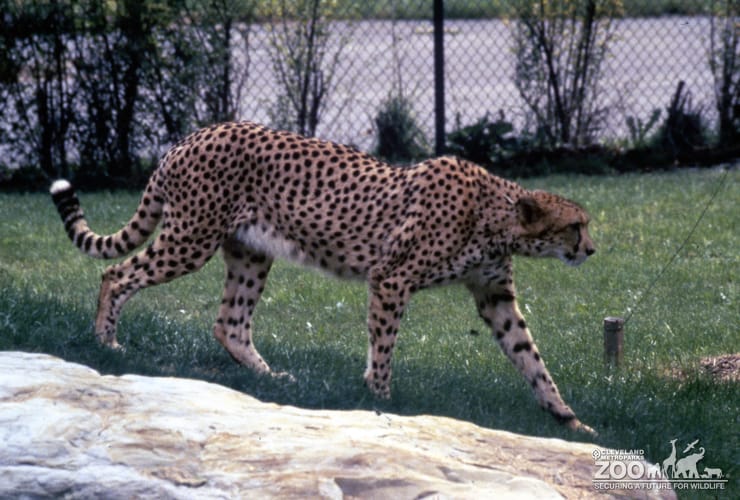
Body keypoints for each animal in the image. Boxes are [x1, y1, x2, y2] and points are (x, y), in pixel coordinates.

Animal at [50, 120, 596, 433]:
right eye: (576, 226)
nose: (592, 249)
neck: (496, 217)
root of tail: (195, 134)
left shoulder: (494, 295)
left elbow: (531, 358)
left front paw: (569, 419)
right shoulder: (391, 279)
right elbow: (384, 346)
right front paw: (381, 400)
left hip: (251, 253)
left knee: (229, 323)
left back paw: (270, 378)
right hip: (191, 239)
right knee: (115, 273)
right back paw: (107, 342)